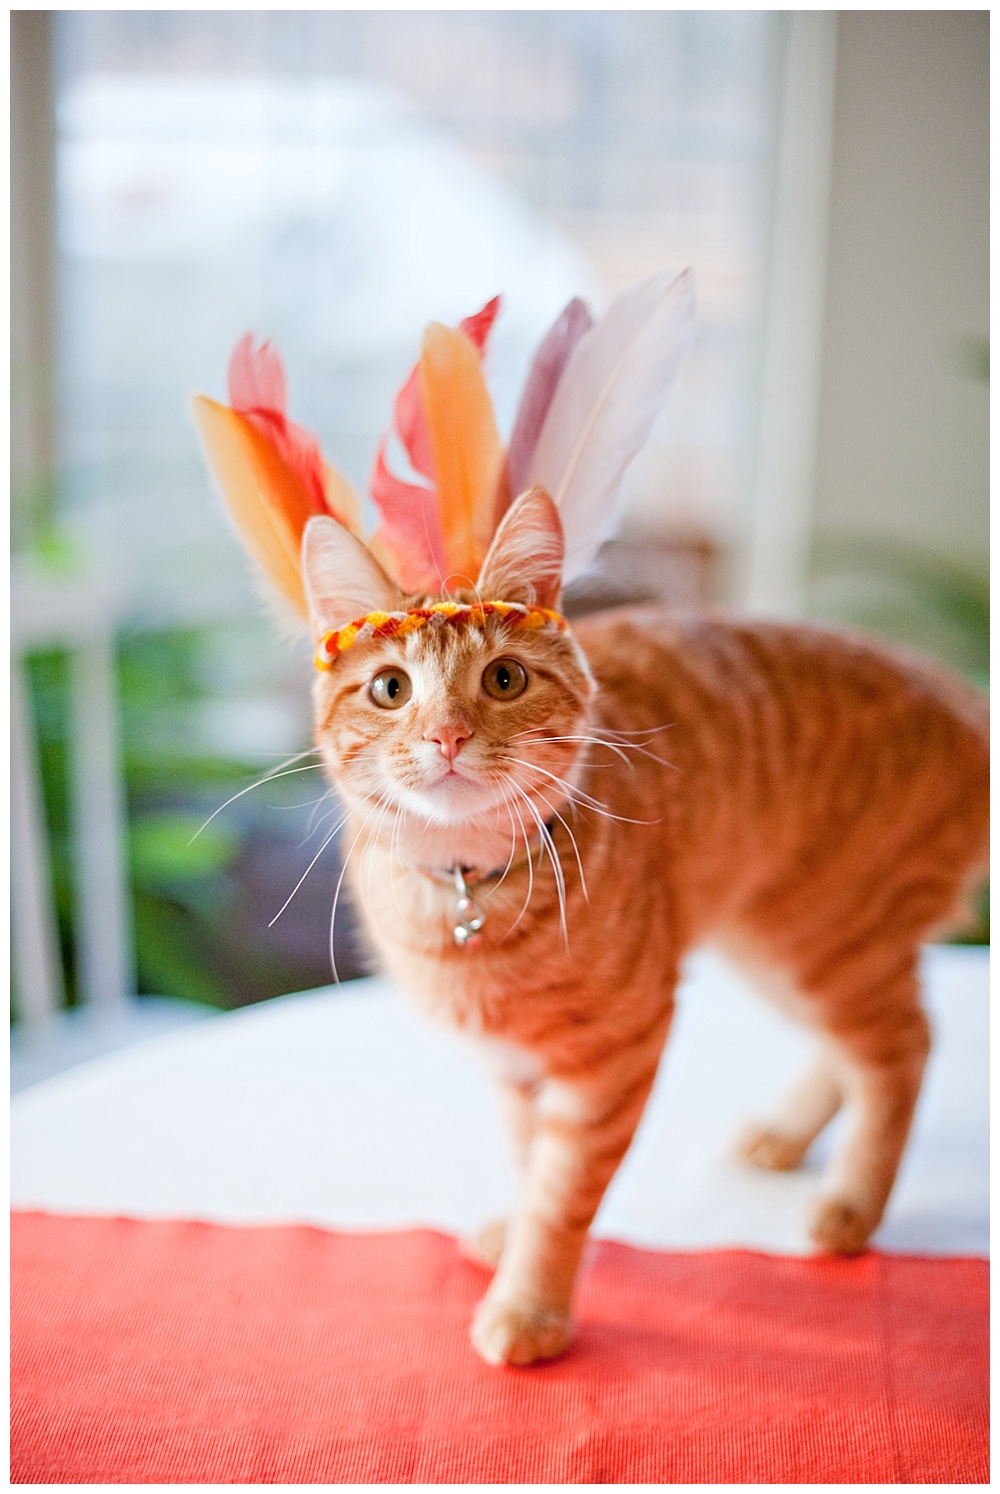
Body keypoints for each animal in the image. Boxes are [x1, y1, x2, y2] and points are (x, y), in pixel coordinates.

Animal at [300, 487, 986, 1368]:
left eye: (504, 678)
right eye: (390, 689)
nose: (445, 737)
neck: (466, 892)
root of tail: (962, 694)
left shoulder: (615, 1054)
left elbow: (560, 1193)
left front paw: (530, 1305)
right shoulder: (519, 1065)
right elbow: (528, 1161)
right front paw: (514, 1235)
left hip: (828, 943)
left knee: (903, 1048)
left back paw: (852, 1207)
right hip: (782, 949)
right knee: (859, 1048)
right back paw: (785, 1136)